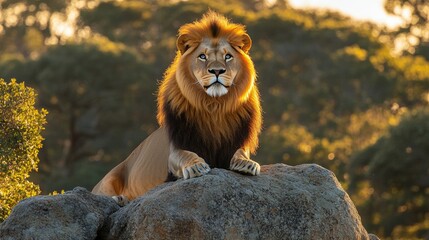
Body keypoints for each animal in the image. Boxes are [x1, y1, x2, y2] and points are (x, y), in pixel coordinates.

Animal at [92, 11, 262, 204]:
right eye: (202, 56)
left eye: (228, 56)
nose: (217, 71)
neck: (214, 107)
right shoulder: (175, 148)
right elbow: (184, 154)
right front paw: (196, 167)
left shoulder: (237, 142)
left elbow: (241, 152)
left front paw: (246, 164)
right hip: (107, 180)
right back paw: (119, 199)